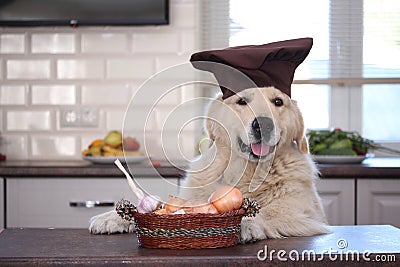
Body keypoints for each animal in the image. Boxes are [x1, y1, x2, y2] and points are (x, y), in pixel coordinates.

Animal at [89, 86, 330, 243]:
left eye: (278, 101)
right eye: (242, 101)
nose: (264, 124)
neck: (245, 172)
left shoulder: (304, 211)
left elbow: (269, 211)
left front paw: (245, 223)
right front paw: (111, 217)